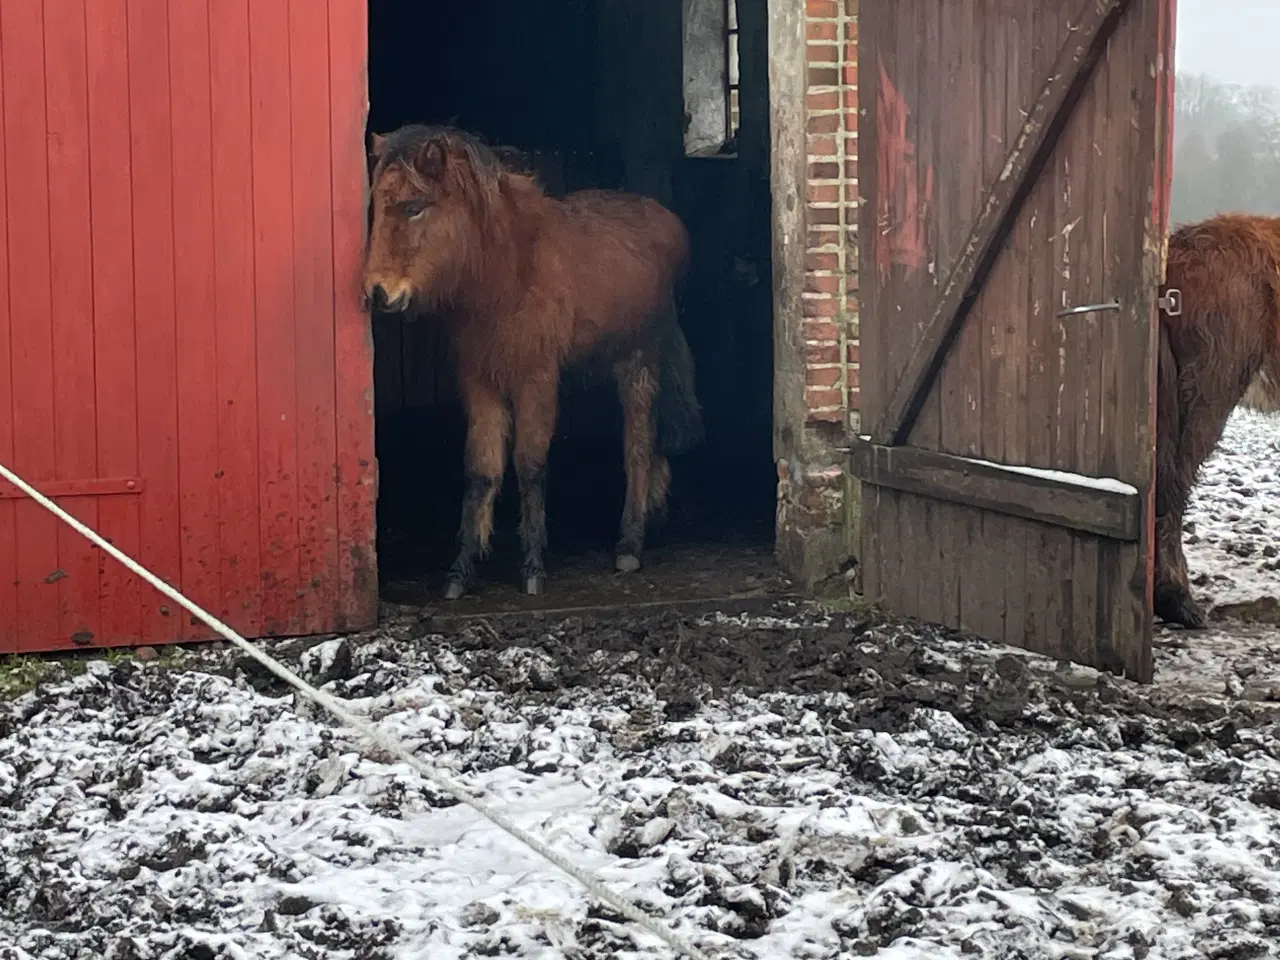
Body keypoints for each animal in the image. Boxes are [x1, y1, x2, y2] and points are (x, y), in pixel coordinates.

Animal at [360, 124, 706, 599]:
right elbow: (481, 469)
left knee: (638, 444)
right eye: (376, 206)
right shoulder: (480, 384)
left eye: (414, 207)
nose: (378, 293)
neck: (508, 275)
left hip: (638, 362)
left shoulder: (535, 380)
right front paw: (462, 567)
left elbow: (530, 465)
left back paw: (630, 541)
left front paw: (533, 566)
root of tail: (668, 223)